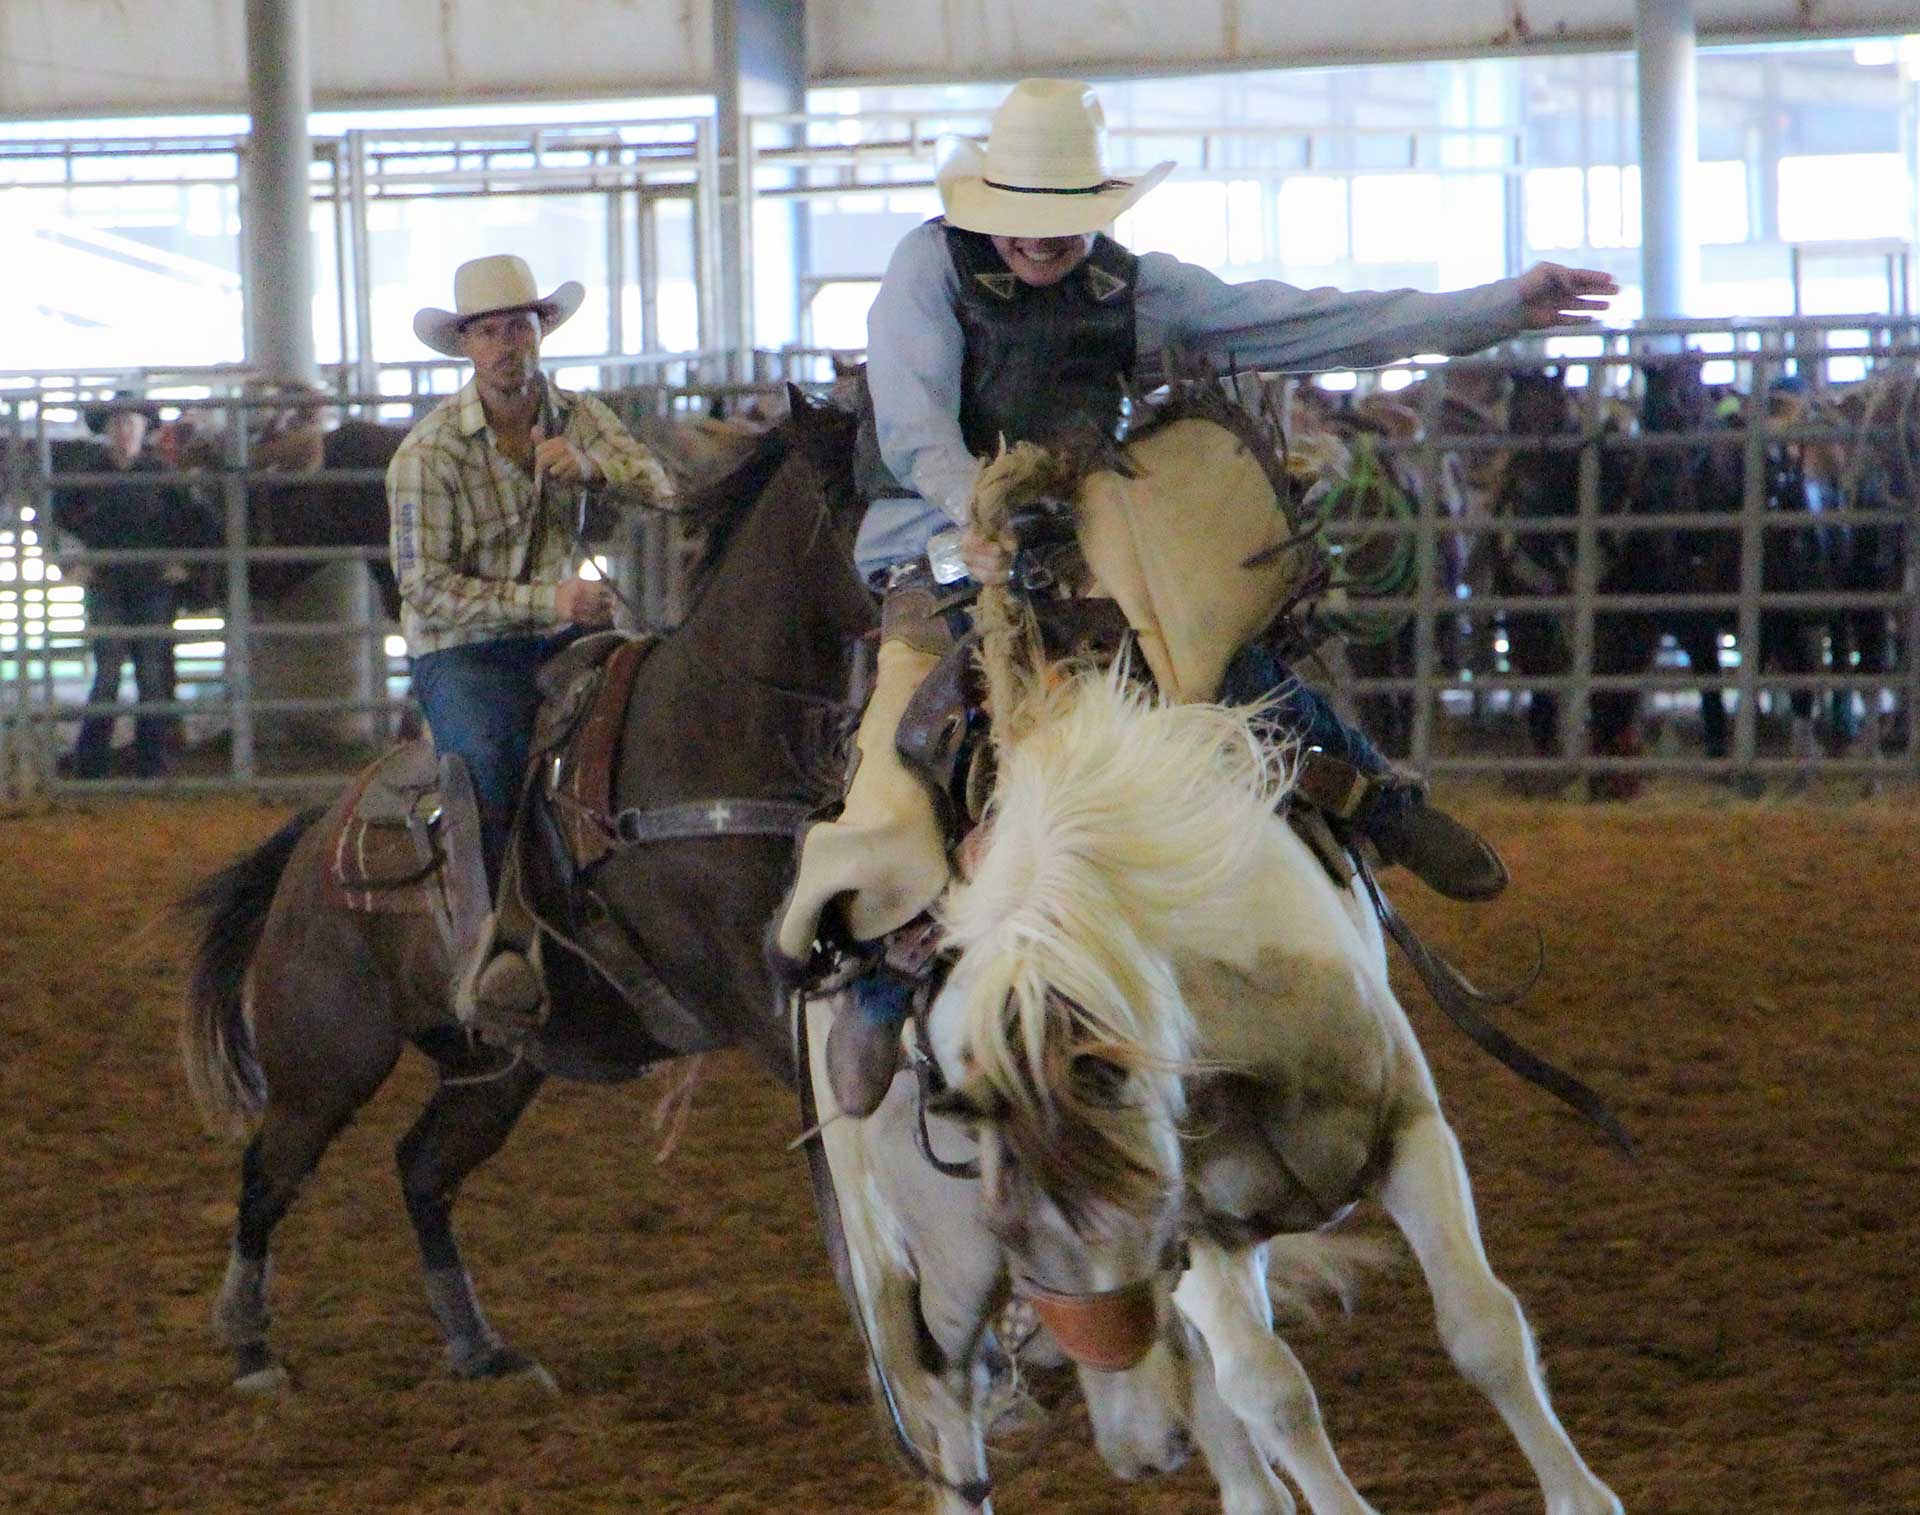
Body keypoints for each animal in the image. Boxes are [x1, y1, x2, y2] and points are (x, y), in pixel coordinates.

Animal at [178, 395, 871, 1390]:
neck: (711, 730)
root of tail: (311, 849)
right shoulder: (754, 986)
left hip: (496, 1067)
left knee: (422, 1167)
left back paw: (478, 1346)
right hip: (325, 1064)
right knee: (269, 1172)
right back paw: (249, 1344)